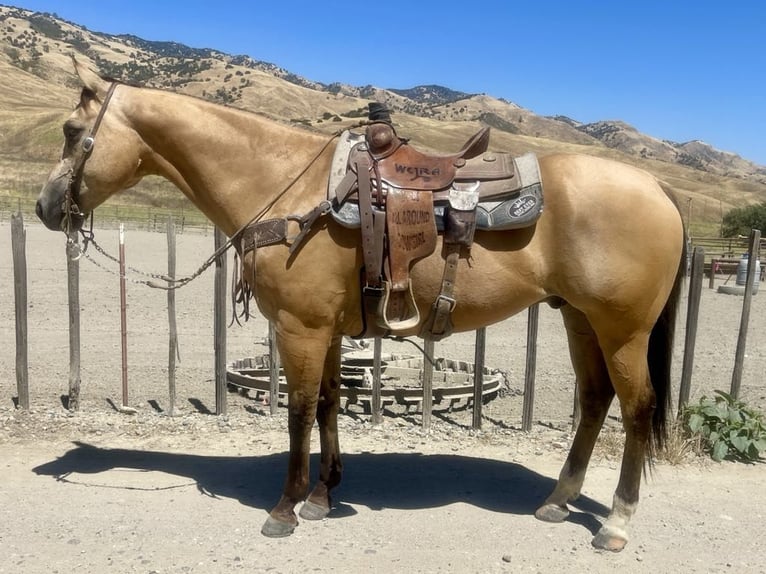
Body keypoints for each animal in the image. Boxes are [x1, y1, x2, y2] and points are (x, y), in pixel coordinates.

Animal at [36, 59, 686, 552]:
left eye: (70, 130)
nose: (45, 207)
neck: (283, 184)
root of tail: (657, 188)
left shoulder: (299, 328)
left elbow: (299, 412)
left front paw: (285, 508)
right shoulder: (326, 329)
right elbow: (327, 405)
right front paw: (324, 495)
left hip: (623, 330)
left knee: (636, 409)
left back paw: (616, 524)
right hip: (580, 319)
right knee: (595, 400)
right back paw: (556, 502)